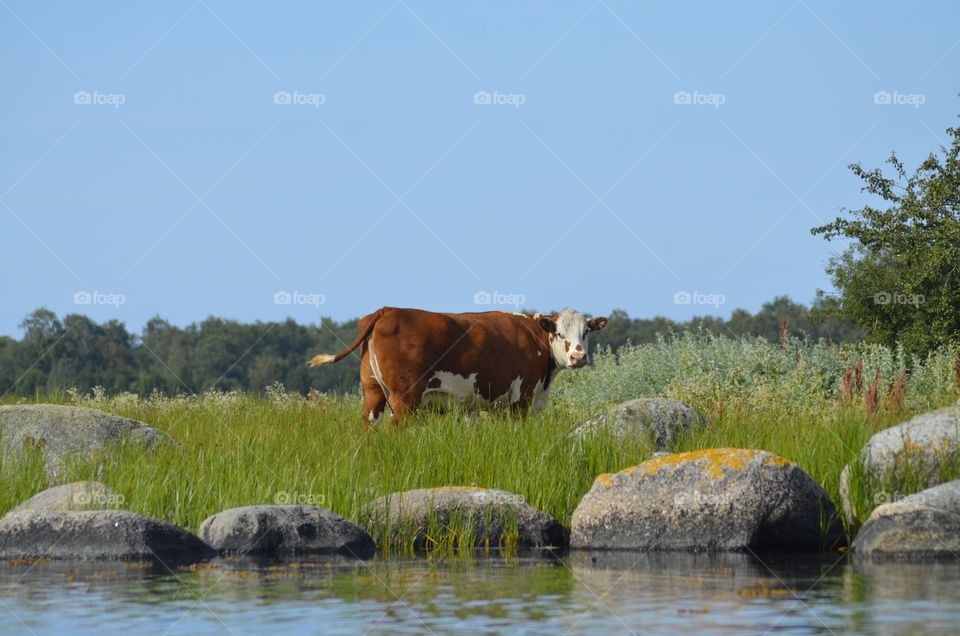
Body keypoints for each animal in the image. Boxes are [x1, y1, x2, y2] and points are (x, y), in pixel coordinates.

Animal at [308, 306, 608, 422]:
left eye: (586, 332)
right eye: (559, 332)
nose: (578, 357)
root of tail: (388, 309)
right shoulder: (520, 399)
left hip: (372, 393)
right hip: (405, 398)